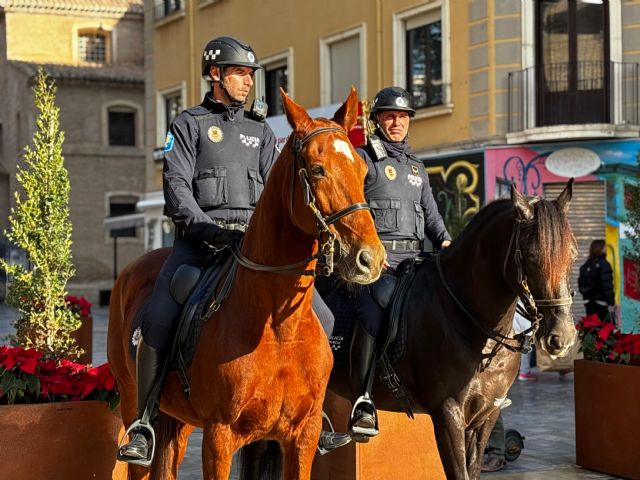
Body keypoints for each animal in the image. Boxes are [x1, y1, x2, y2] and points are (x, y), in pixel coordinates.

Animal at [107, 87, 384, 480]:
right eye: (317, 170)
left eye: (362, 171)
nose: (370, 258)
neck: (277, 326)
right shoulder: (219, 437)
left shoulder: (301, 436)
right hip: (133, 401)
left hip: (179, 422)